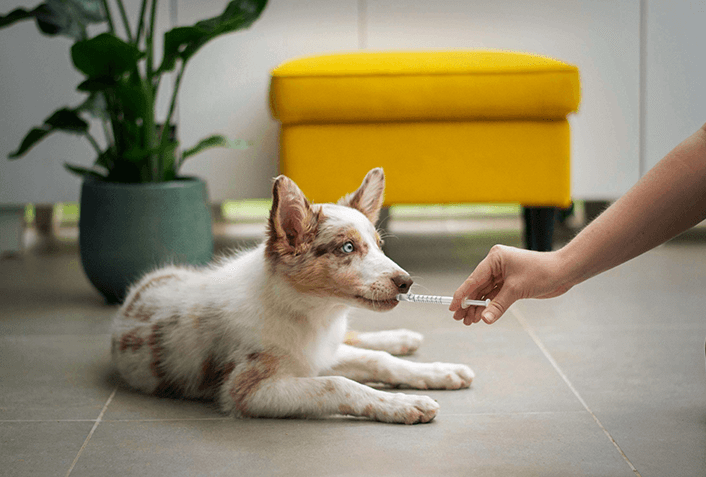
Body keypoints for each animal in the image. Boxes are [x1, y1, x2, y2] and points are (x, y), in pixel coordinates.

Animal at [110, 167, 472, 424]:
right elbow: (339, 384)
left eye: (380, 246)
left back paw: (403, 339)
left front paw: (438, 373)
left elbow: (377, 360)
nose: (406, 283)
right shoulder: (249, 390)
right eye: (348, 247)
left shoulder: (319, 353)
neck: (310, 313)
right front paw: (405, 404)